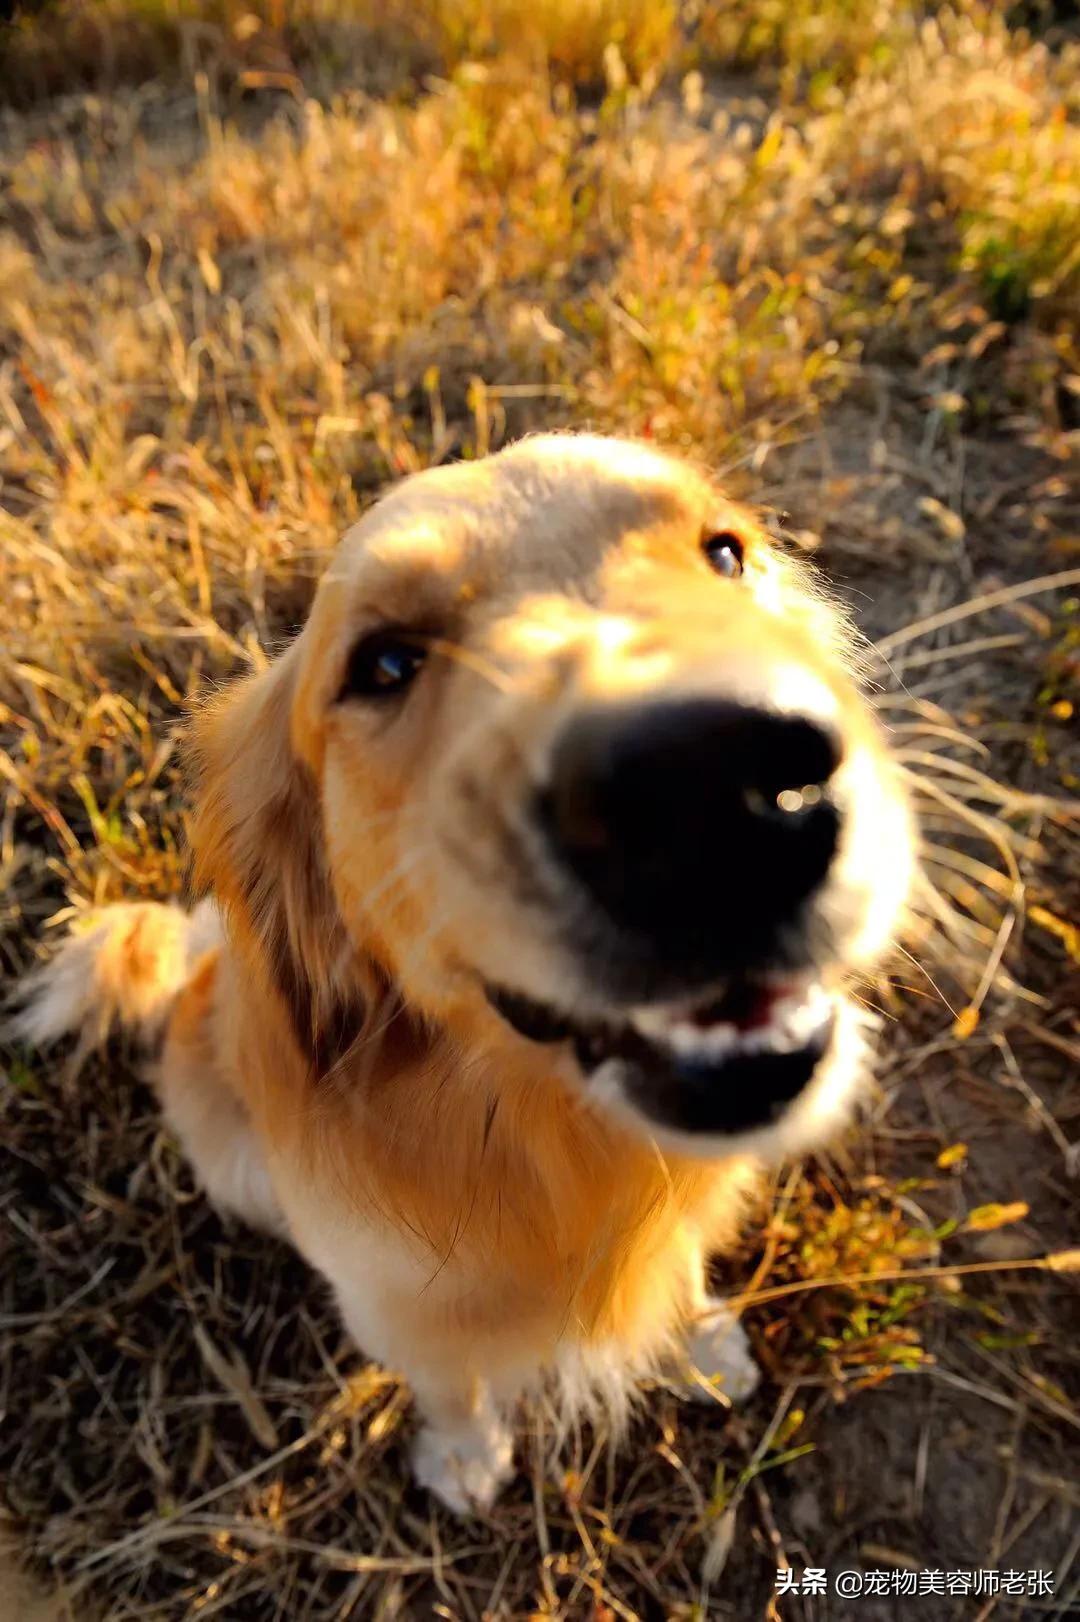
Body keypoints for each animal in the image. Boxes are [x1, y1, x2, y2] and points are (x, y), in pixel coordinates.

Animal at [12, 431, 914, 1505]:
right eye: (387, 662)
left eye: (726, 555)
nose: (713, 782)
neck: (556, 1146)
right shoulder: (390, 1297)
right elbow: (451, 1380)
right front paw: (465, 1456)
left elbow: (682, 1263)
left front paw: (697, 1347)